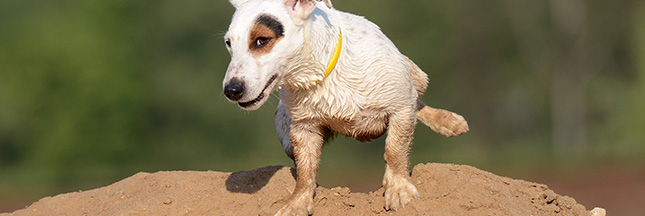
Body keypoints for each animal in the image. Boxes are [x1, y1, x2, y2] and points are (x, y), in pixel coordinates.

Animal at [221, 0, 468, 213]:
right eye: (228, 43)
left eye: (262, 40)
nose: (231, 90)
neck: (320, 73)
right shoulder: (303, 127)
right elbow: (305, 171)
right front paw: (297, 204)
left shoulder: (400, 106)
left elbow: (395, 150)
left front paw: (399, 189)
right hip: (285, 134)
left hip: (416, 76)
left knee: (417, 98)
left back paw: (449, 121)